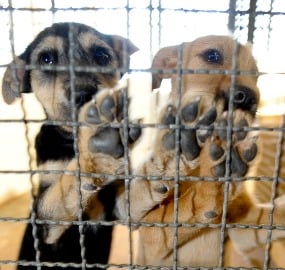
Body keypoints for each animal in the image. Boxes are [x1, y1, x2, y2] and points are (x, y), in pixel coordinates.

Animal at [1, 21, 138, 270]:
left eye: (102, 55)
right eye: (46, 59)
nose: (85, 94)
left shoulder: (117, 208)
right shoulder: (45, 220)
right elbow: (64, 188)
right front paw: (96, 155)